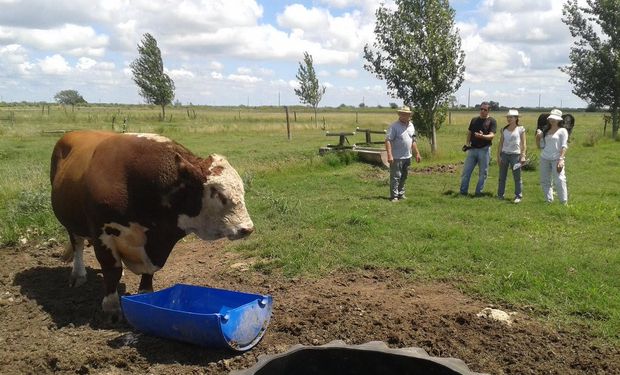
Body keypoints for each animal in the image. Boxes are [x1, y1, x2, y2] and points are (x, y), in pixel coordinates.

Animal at [50, 131, 254, 316]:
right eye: (219, 194)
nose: (247, 228)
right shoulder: (102, 232)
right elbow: (111, 269)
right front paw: (111, 306)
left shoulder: (157, 243)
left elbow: (149, 272)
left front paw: (146, 294)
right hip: (70, 222)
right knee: (77, 244)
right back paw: (78, 274)